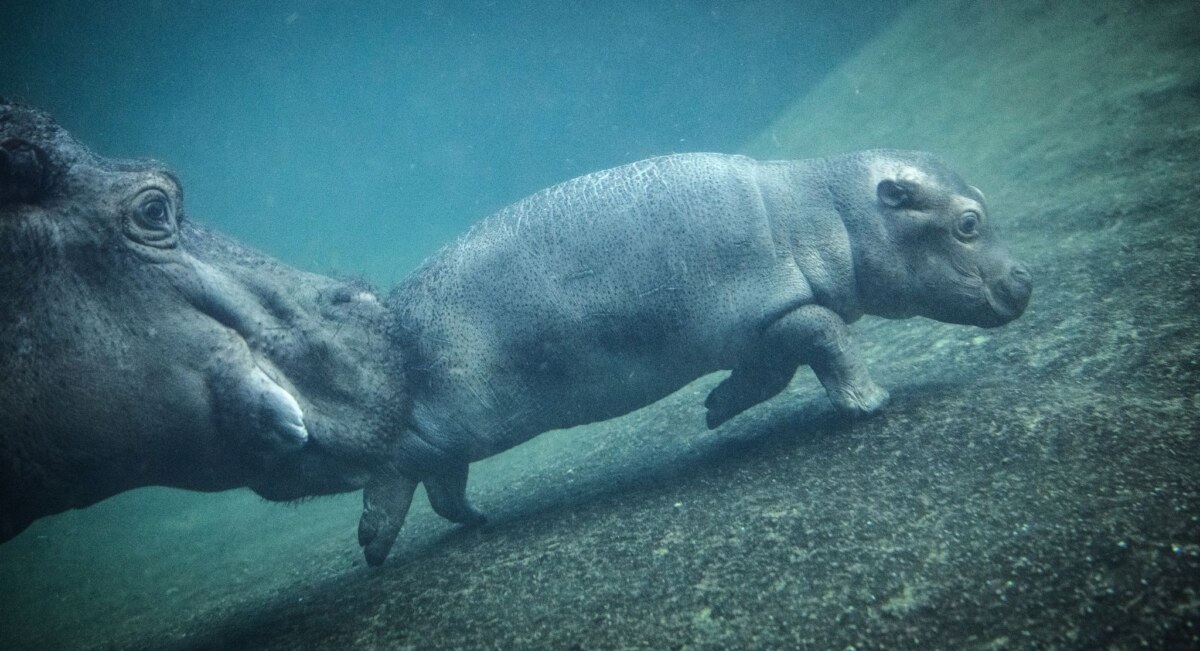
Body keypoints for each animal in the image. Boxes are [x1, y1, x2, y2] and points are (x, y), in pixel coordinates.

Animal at [358, 151, 1032, 564]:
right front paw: (871, 404)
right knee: (395, 468)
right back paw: (374, 544)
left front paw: (713, 410)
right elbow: (831, 337)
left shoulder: (761, 332)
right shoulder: (783, 310)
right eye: (968, 223)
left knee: (440, 479)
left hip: (453, 435)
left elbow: (771, 373)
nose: (1026, 278)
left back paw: (477, 519)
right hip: (448, 420)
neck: (829, 210)